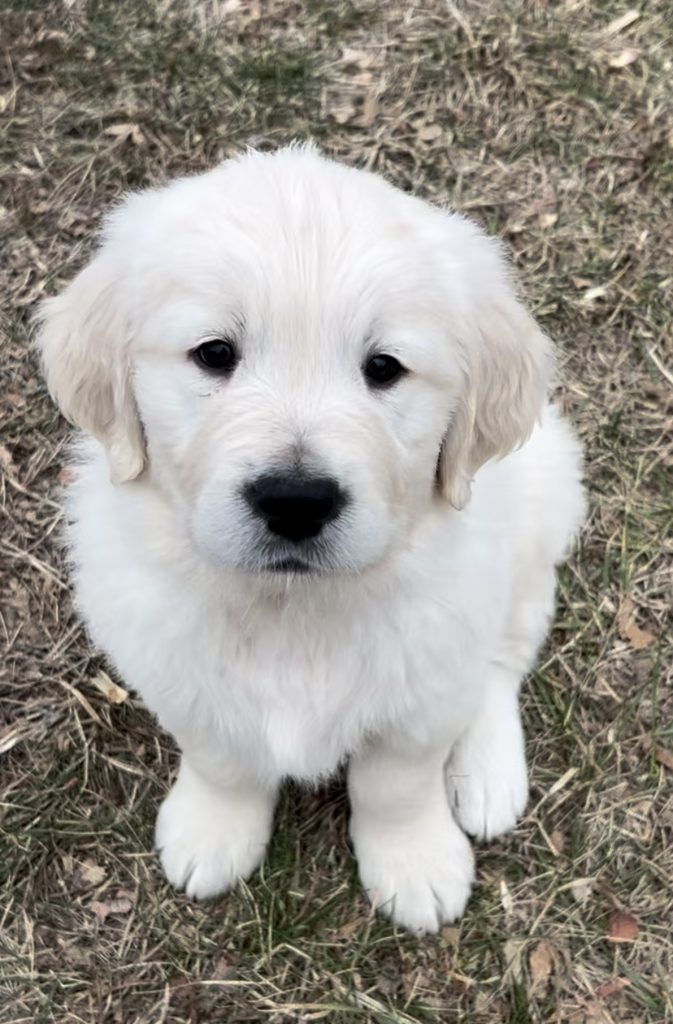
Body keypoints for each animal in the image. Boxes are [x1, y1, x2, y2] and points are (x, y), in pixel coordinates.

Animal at [38, 148, 581, 933]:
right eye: (214, 354)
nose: (295, 503)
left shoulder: (424, 689)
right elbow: (221, 760)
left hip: (540, 504)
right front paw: (213, 831)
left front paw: (415, 863)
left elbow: (398, 783)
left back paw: (487, 774)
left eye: (383, 367)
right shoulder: (181, 675)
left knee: (502, 663)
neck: (290, 608)